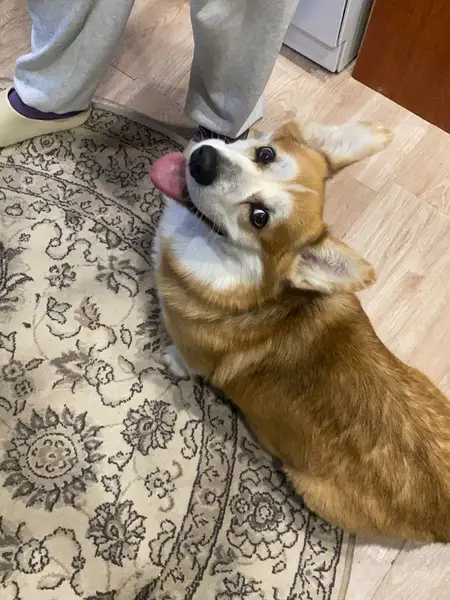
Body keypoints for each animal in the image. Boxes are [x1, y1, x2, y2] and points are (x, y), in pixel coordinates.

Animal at [150, 120, 450, 542]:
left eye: (259, 217)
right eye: (265, 154)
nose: (203, 160)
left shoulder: (194, 356)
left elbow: (182, 359)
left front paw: (168, 358)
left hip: (314, 490)